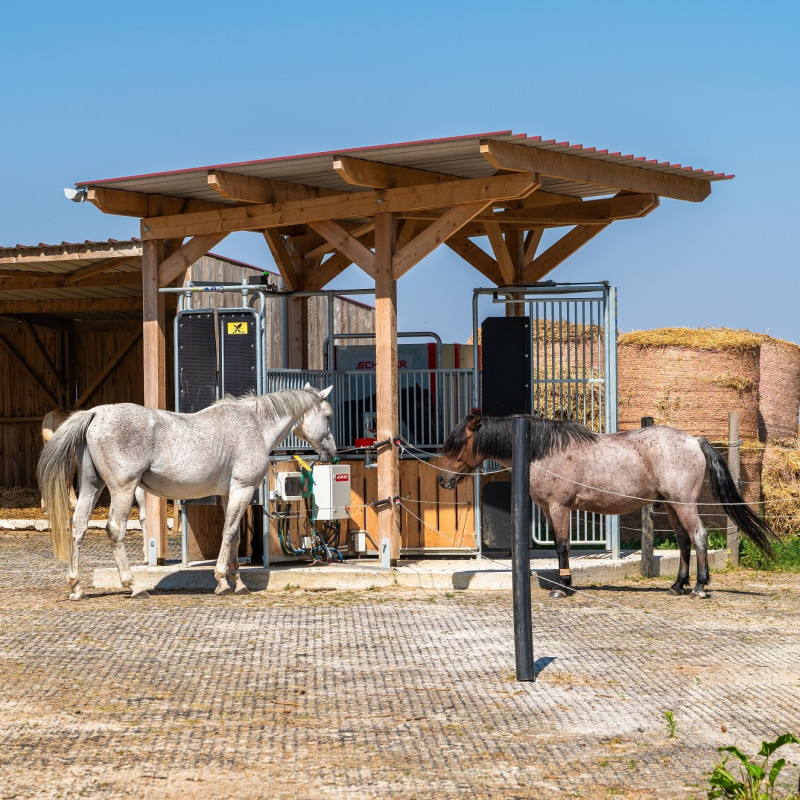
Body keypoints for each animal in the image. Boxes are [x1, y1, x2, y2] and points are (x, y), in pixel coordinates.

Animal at [37, 386, 334, 600]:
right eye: (329, 416)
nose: (331, 453)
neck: (254, 426)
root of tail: (97, 413)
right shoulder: (242, 489)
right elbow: (229, 534)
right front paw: (222, 581)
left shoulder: (229, 494)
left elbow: (235, 537)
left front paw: (237, 583)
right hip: (123, 489)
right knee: (115, 529)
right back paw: (134, 586)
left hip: (91, 486)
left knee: (78, 527)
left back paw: (76, 586)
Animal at [434, 416, 780, 596]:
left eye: (457, 445)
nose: (442, 480)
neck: (542, 451)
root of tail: (694, 440)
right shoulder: (547, 509)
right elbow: (559, 545)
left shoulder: (559, 508)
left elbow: (562, 546)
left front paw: (563, 586)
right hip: (671, 505)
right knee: (684, 541)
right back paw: (677, 585)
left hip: (683, 504)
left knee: (699, 537)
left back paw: (698, 587)